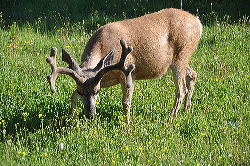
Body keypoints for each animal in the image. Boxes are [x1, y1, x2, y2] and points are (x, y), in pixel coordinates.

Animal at [46, 8, 203, 124]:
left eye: (97, 91)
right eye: (81, 91)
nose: (90, 115)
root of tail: (198, 22)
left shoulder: (127, 73)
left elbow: (126, 102)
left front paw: (127, 125)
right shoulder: (101, 78)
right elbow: (72, 96)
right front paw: (72, 118)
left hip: (181, 55)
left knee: (181, 89)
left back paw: (170, 119)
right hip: (179, 60)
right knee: (193, 75)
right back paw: (186, 111)